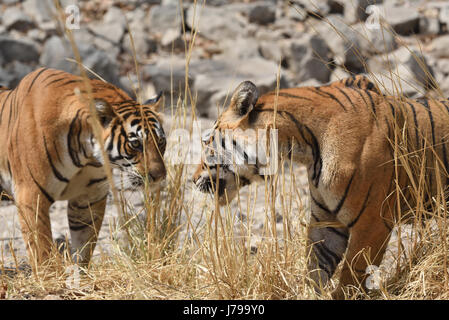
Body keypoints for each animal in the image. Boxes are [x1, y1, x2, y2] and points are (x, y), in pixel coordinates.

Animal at [0, 68, 166, 270]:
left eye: (161, 142)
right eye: (135, 144)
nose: (159, 176)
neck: (86, 155)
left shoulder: (88, 199)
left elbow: (84, 244)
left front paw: (79, 272)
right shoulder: (31, 194)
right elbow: (41, 248)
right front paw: (50, 275)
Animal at [193, 75, 449, 300]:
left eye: (207, 143)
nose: (193, 179)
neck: (302, 146)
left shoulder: (372, 222)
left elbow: (352, 274)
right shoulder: (326, 218)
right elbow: (316, 266)